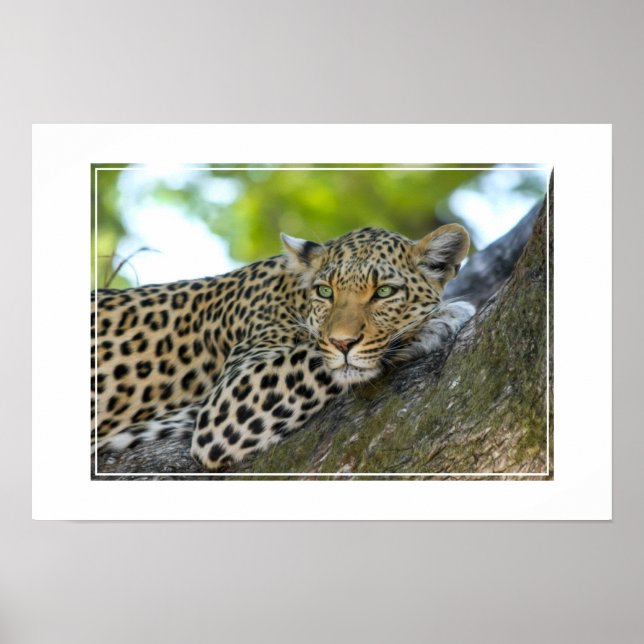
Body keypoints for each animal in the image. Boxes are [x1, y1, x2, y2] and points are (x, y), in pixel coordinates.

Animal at [91, 225, 475, 471]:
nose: (343, 342)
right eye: (325, 292)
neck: (294, 295)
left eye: (384, 292)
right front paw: (436, 320)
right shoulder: (228, 401)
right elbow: (315, 357)